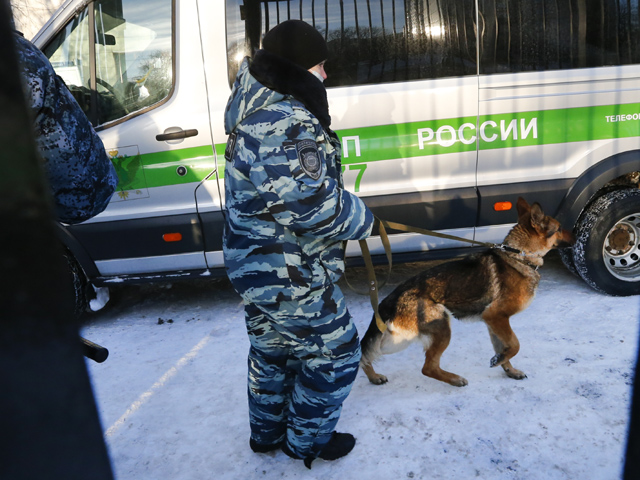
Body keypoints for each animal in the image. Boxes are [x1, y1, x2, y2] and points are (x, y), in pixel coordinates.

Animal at [360, 197, 576, 388]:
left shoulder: (493, 321)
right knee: (427, 367)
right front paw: (500, 361)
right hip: (434, 329)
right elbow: (515, 344)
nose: (576, 235)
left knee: (364, 352)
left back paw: (373, 377)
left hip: (398, 339)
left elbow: (504, 346)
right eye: (559, 228)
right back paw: (455, 379)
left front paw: (507, 367)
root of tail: (390, 299)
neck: (519, 256)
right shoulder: (497, 316)